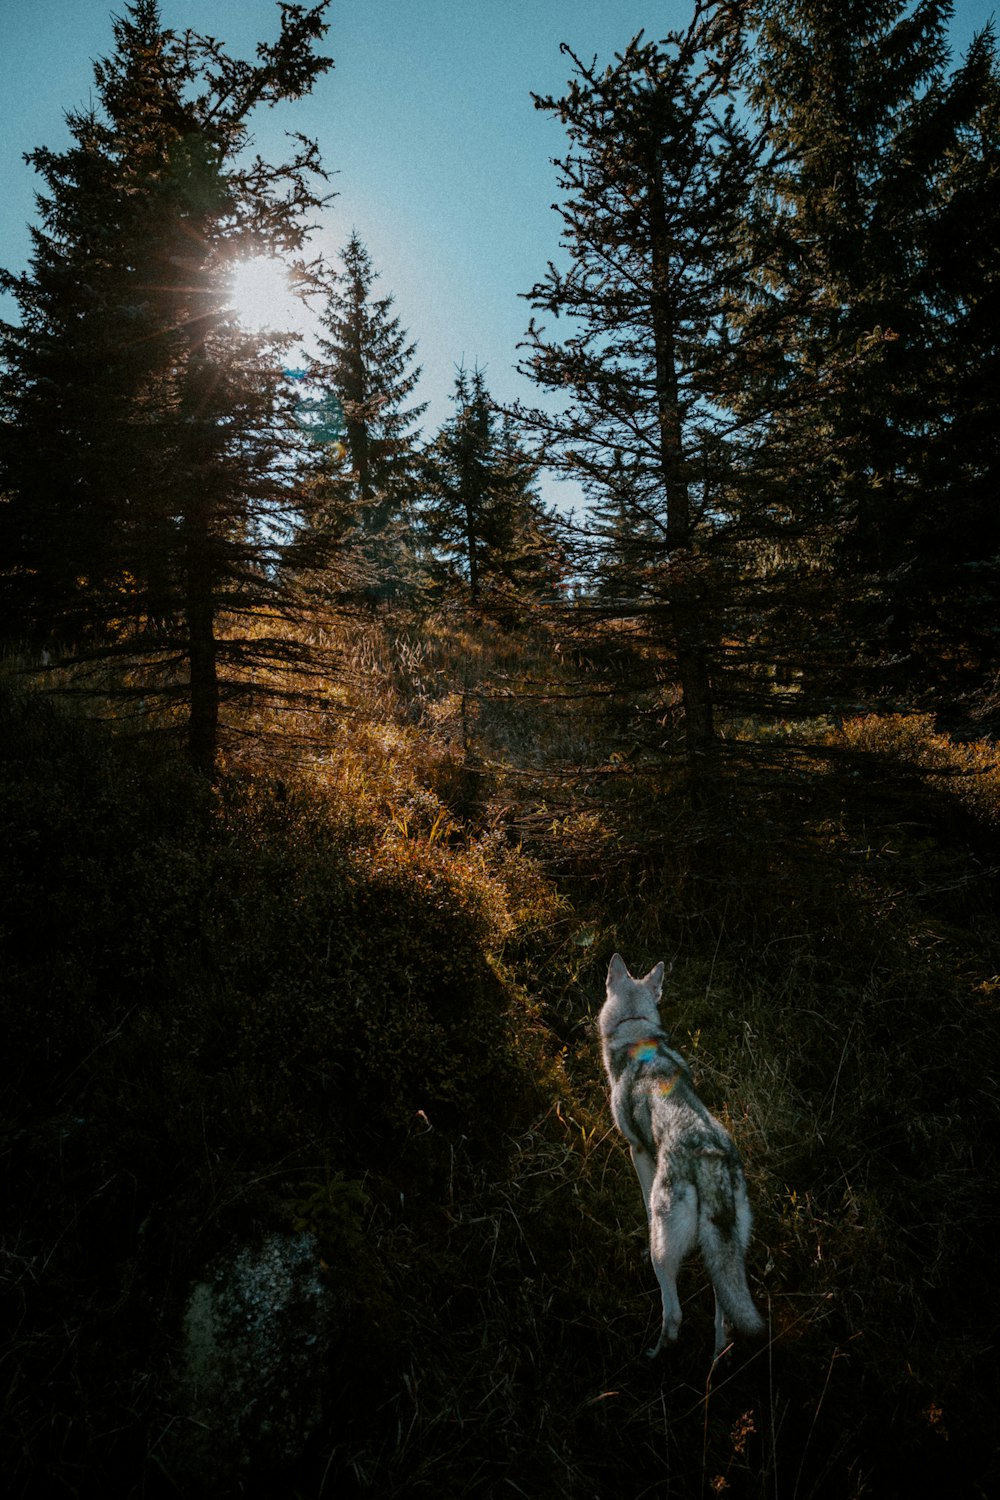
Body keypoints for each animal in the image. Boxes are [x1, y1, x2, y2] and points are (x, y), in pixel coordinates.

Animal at [602, 960, 767, 1362]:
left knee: (674, 1314)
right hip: (725, 1252)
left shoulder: (638, 1152)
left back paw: (655, 1354)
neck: (634, 1028)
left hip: (663, 1254)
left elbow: (645, 1200)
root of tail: (709, 1156)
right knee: (724, 1317)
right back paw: (716, 1360)